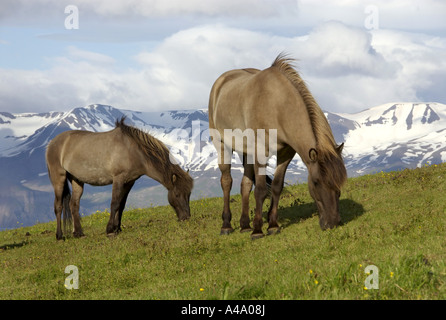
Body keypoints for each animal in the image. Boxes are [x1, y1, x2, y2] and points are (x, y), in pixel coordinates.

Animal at [46, 118, 194, 240]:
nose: (186, 218)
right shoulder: (118, 179)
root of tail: (52, 143)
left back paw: (78, 233)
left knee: (74, 204)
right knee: (58, 206)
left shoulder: (129, 182)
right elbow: (114, 203)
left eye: (189, 194)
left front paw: (118, 228)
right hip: (58, 178)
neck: (133, 151)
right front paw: (110, 230)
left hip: (77, 180)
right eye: (177, 194)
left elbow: (121, 205)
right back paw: (59, 236)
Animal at [209, 53, 348, 238]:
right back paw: (226, 226)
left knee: (245, 184)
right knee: (226, 182)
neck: (277, 106)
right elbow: (261, 190)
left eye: (339, 182)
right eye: (316, 182)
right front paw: (258, 230)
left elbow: (276, 186)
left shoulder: (285, 154)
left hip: (247, 152)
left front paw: (273, 225)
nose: (332, 223)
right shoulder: (260, 154)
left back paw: (245, 225)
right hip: (222, 145)